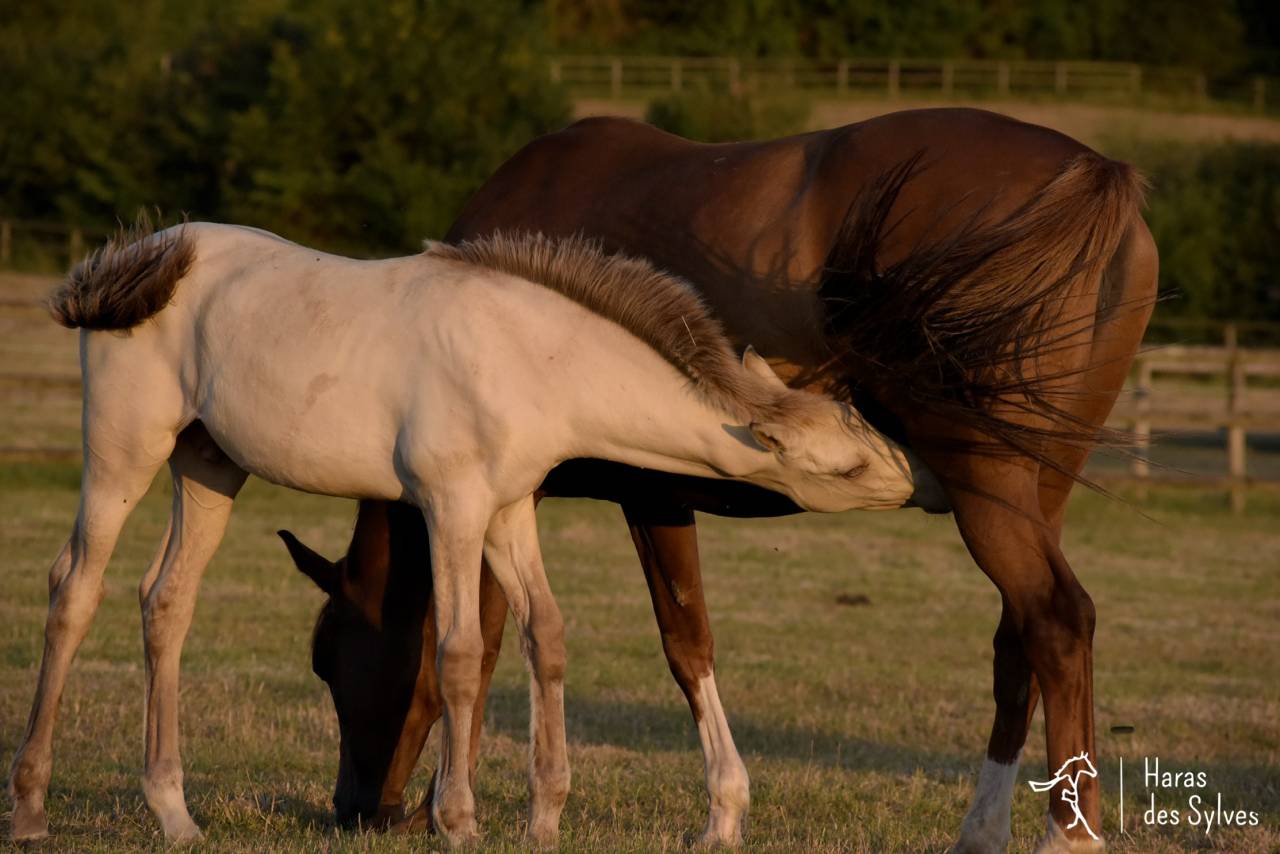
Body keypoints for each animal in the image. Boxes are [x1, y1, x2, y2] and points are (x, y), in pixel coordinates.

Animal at [5, 224, 945, 845]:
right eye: (849, 468)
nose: (927, 483)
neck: (529, 357)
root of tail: (140, 262)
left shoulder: (509, 509)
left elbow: (547, 636)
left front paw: (546, 816)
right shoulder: (451, 505)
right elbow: (458, 653)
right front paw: (458, 821)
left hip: (208, 466)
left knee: (165, 602)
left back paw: (174, 814)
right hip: (124, 451)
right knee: (73, 590)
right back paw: (30, 807)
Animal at [280, 108, 1156, 853]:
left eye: (329, 658)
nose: (357, 811)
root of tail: (1093, 172)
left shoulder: (599, 494)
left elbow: (556, 640)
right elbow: (685, 638)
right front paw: (723, 812)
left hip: (989, 489)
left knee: (1055, 620)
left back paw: (1067, 834)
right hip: (1038, 493)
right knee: (1020, 642)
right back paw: (983, 830)